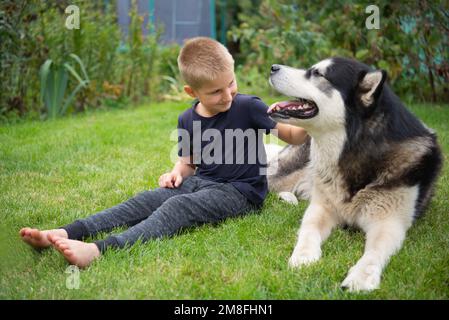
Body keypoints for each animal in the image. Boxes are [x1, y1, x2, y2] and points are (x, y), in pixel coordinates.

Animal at [264, 56, 442, 292]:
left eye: (317, 74)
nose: (273, 67)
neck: (352, 148)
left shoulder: (390, 222)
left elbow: (375, 251)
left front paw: (361, 277)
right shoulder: (321, 207)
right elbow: (308, 230)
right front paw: (303, 256)